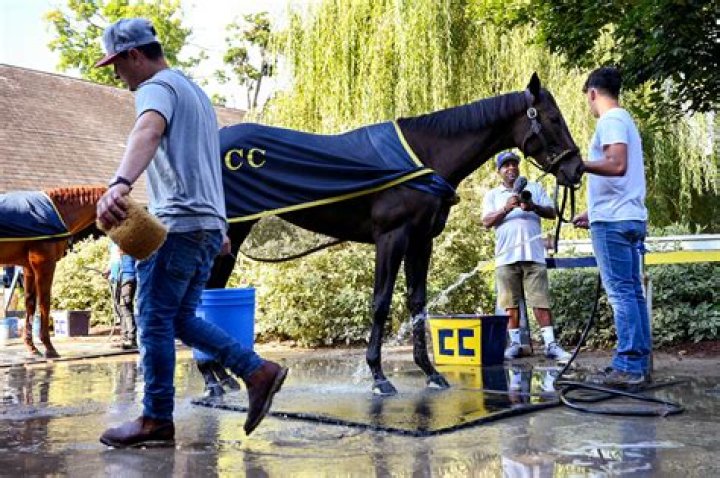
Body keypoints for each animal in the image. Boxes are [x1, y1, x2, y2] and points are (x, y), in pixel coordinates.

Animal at [0, 185, 106, 358]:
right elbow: (44, 302)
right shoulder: (44, 265)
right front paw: (49, 348)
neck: (58, 211)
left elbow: (30, 304)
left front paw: (32, 347)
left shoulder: (28, 268)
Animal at [204, 73, 584, 396]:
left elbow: (417, 303)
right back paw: (211, 380)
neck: (423, 157)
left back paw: (221, 378)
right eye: (553, 118)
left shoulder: (421, 240)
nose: (576, 169)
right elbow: (381, 303)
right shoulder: (392, 237)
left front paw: (430, 372)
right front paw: (378, 376)